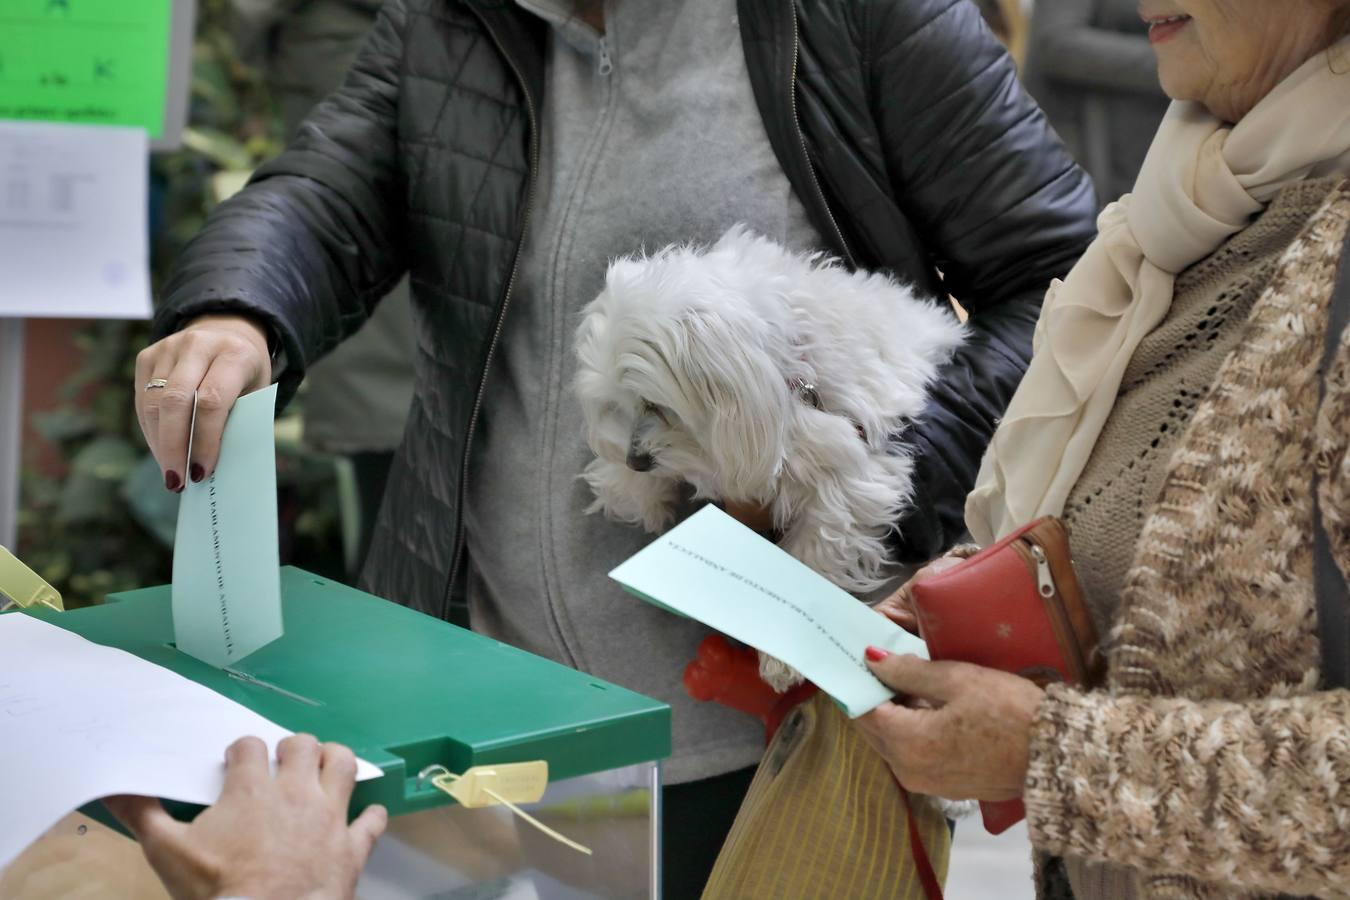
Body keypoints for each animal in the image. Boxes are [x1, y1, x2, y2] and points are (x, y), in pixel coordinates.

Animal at [575, 226, 966, 690]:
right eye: (615, 404)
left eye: (655, 404)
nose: (636, 461)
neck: (785, 369)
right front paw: (631, 489)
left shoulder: (854, 468)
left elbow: (816, 544)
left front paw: (783, 652)